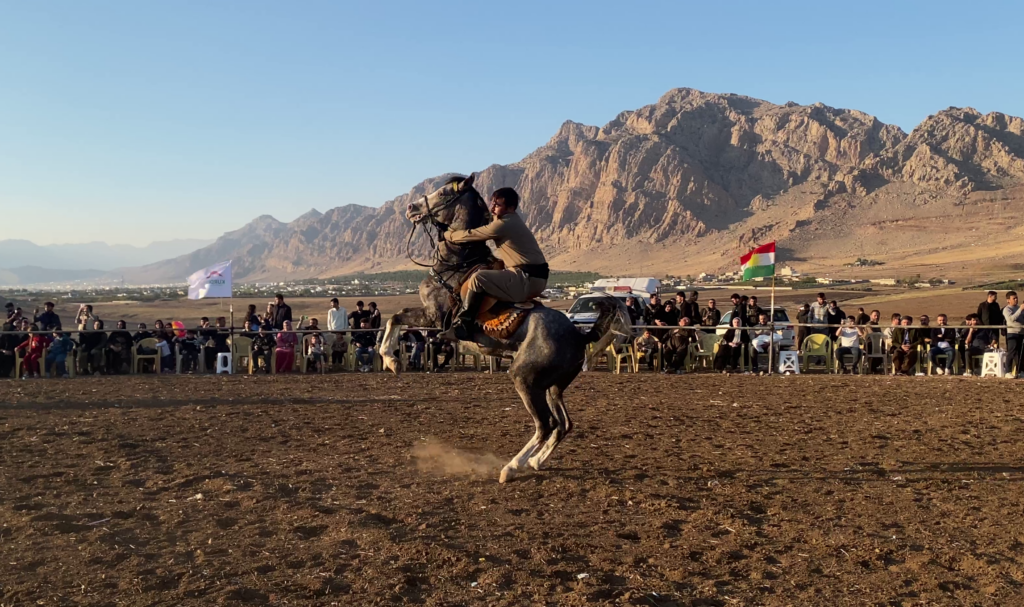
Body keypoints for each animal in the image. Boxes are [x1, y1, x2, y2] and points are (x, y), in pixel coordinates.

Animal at [380, 174, 626, 483]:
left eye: (444, 192)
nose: (411, 207)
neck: (456, 264)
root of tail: (579, 337)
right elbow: (395, 318)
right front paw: (391, 361)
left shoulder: (435, 317)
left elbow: (397, 318)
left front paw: (391, 360)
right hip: (553, 387)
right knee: (563, 424)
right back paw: (535, 461)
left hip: (525, 379)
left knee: (545, 424)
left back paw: (512, 467)